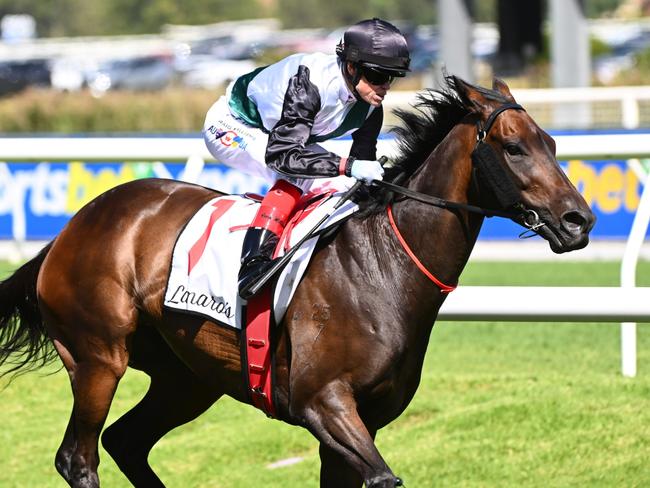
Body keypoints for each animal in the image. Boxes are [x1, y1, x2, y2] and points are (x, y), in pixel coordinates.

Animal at [0, 76, 592, 488]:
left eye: (552, 142)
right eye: (514, 148)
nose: (578, 221)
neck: (380, 267)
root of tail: (70, 229)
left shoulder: (364, 420)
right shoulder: (322, 402)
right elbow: (384, 476)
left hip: (185, 378)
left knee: (126, 442)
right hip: (99, 357)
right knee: (78, 458)